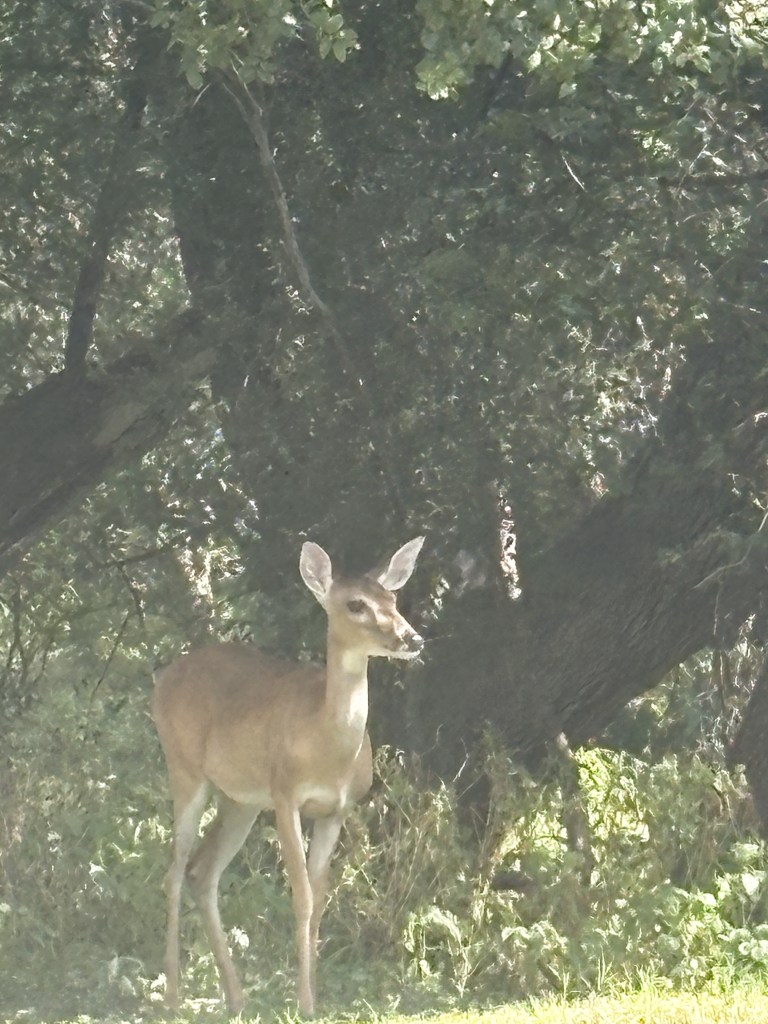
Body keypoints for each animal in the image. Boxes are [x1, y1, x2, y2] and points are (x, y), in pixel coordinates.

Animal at [152, 536, 425, 1016]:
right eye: (356, 604)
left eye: (393, 599)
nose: (412, 637)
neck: (326, 748)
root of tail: (163, 679)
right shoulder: (285, 795)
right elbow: (301, 896)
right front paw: (305, 1003)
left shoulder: (336, 810)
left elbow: (319, 898)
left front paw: (312, 996)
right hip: (184, 768)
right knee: (175, 871)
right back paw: (173, 996)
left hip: (240, 800)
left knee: (203, 872)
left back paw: (236, 996)